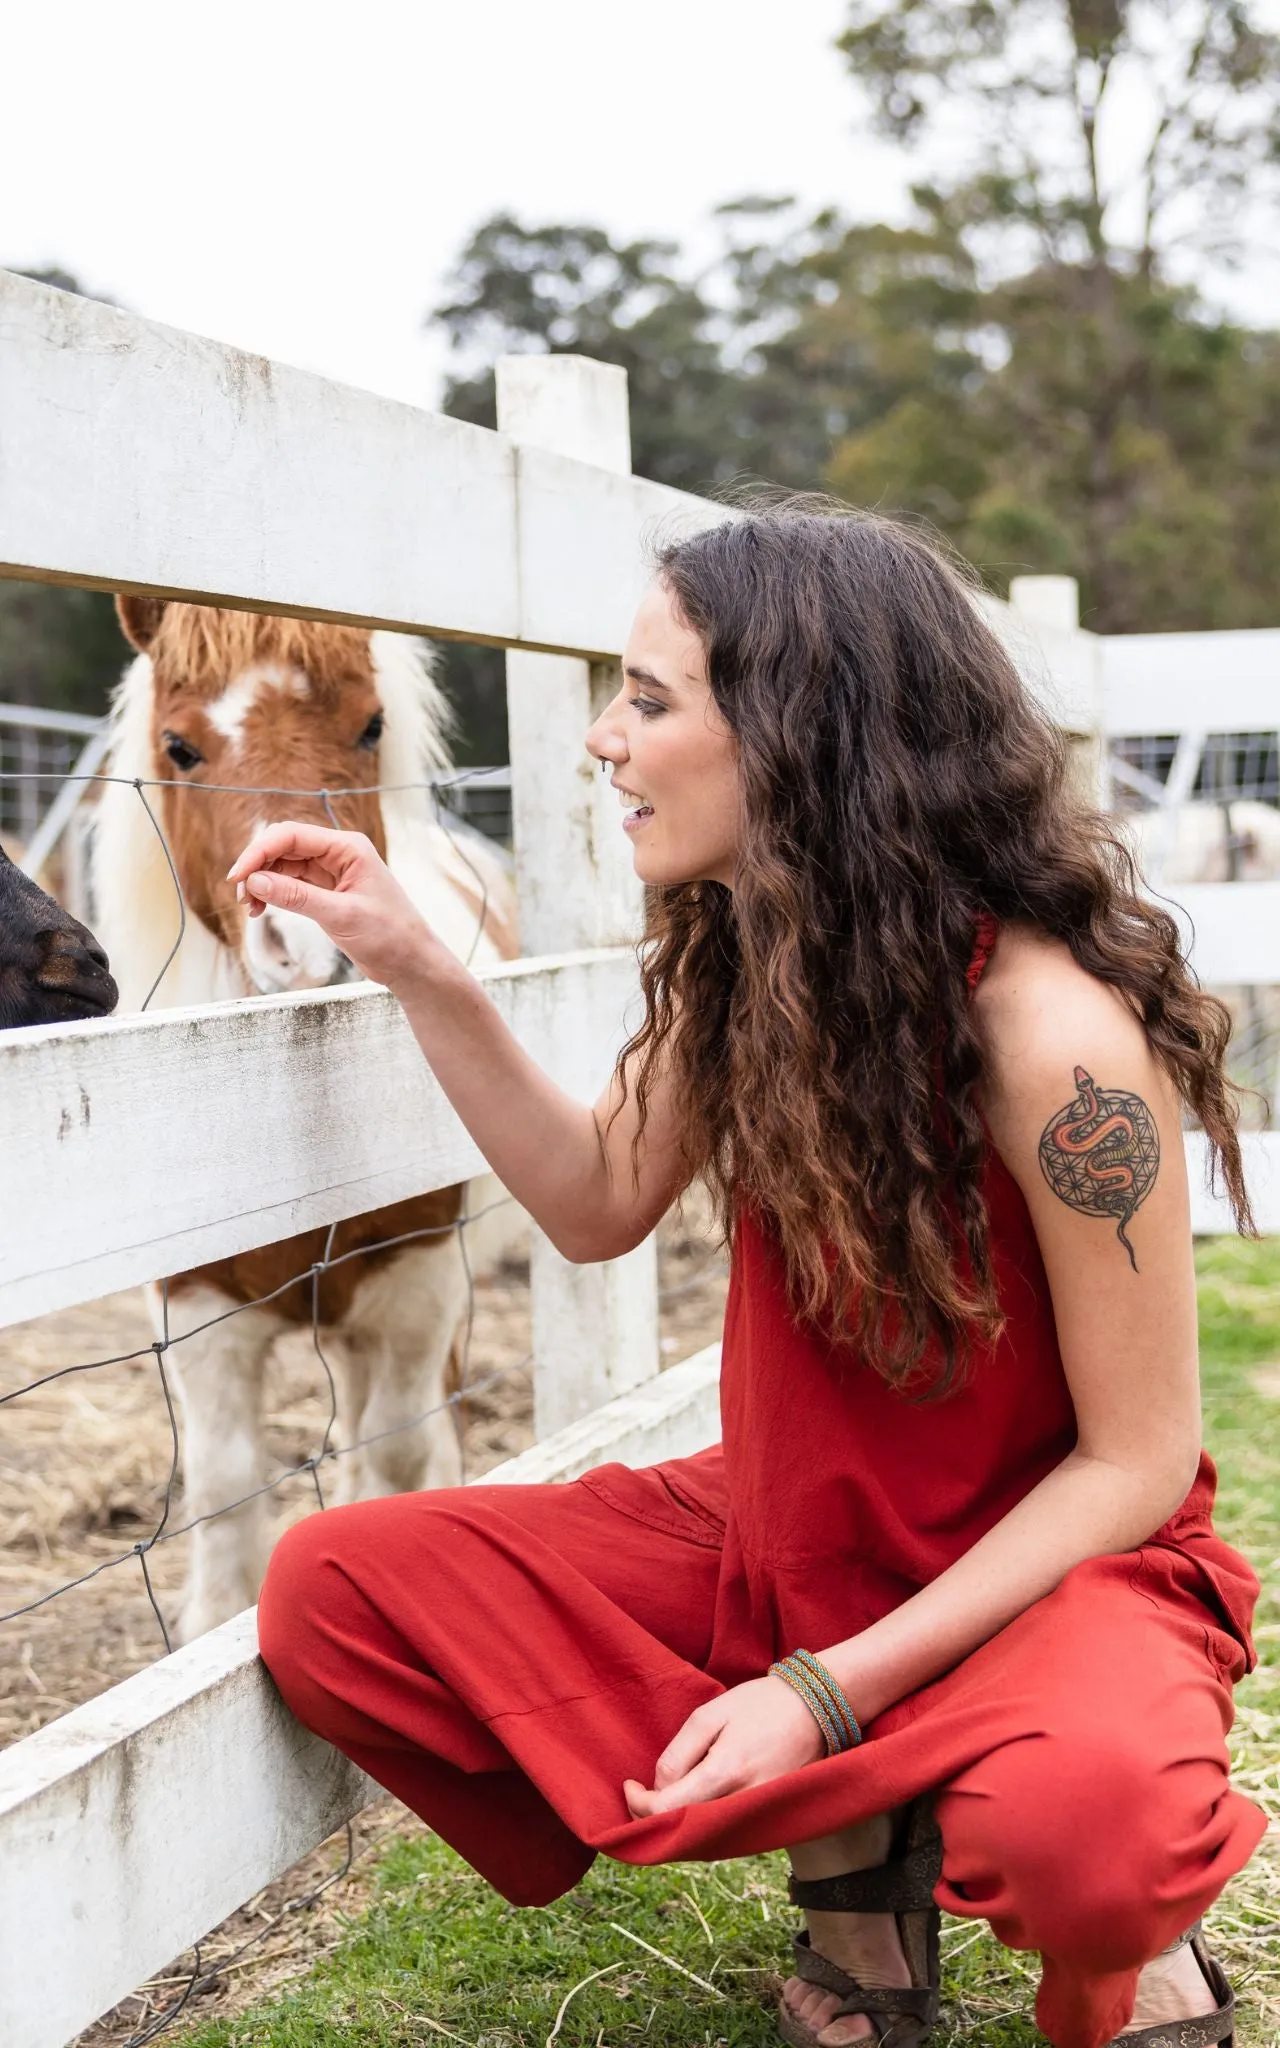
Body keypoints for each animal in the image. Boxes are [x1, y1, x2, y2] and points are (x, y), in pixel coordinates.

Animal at [90, 598, 522, 1638]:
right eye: (180, 746)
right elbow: (224, 1485)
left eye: (371, 727)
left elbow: (393, 1456)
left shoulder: (417, 1278)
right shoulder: (199, 1306)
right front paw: (215, 1622)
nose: (312, 945)